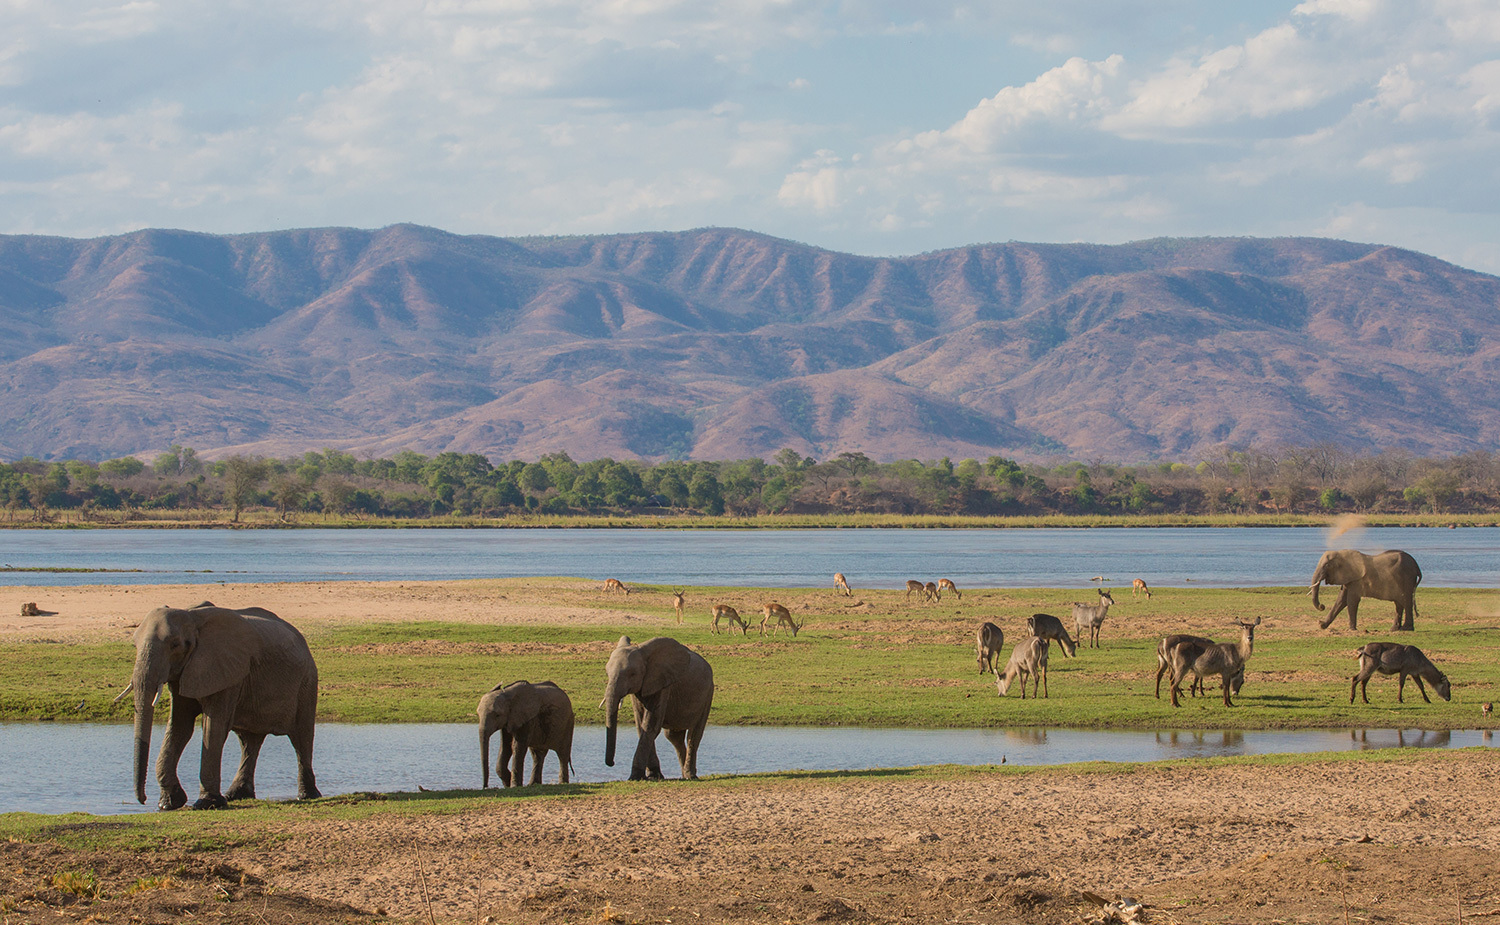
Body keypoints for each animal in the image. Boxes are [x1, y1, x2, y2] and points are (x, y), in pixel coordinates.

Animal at [128, 602, 319, 810]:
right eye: (135, 645)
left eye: (175, 645)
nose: (143, 800)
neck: (192, 617)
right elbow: (180, 727)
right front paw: (169, 803)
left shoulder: (228, 672)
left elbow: (213, 728)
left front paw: (206, 804)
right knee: (249, 742)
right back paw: (237, 795)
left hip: (306, 683)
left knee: (301, 738)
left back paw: (308, 796)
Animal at [603, 636, 713, 781]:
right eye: (607, 672)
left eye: (632, 673)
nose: (612, 763)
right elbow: (640, 724)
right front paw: (654, 776)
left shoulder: (663, 684)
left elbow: (650, 725)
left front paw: (636, 777)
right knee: (673, 737)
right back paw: (685, 775)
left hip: (708, 694)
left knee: (694, 735)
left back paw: (691, 775)